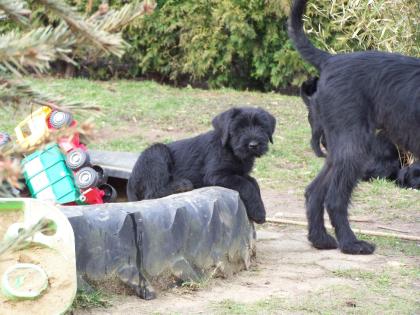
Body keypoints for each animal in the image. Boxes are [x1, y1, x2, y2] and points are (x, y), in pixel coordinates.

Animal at [126, 107, 276, 223]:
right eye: (239, 128)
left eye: (261, 127)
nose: (253, 145)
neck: (230, 149)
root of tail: (131, 182)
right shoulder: (216, 175)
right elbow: (245, 185)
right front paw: (259, 212)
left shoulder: (241, 173)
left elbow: (253, 182)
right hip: (156, 152)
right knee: (152, 193)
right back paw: (182, 185)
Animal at [288, 0, 420, 256]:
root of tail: (330, 61)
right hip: (354, 146)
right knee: (335, 199)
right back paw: (351, 243)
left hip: (340, 147)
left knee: (314, 191)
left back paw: (320, 239)